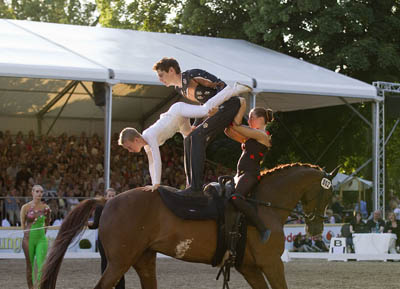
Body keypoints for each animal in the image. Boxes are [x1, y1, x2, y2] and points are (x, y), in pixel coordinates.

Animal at [39, 162, 338, 288]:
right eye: (327, 193)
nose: (315, 230)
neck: (259, 205)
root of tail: (108, 201)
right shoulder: (271, 264)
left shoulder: (249, 267)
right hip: (119, 263)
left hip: (143, 260)